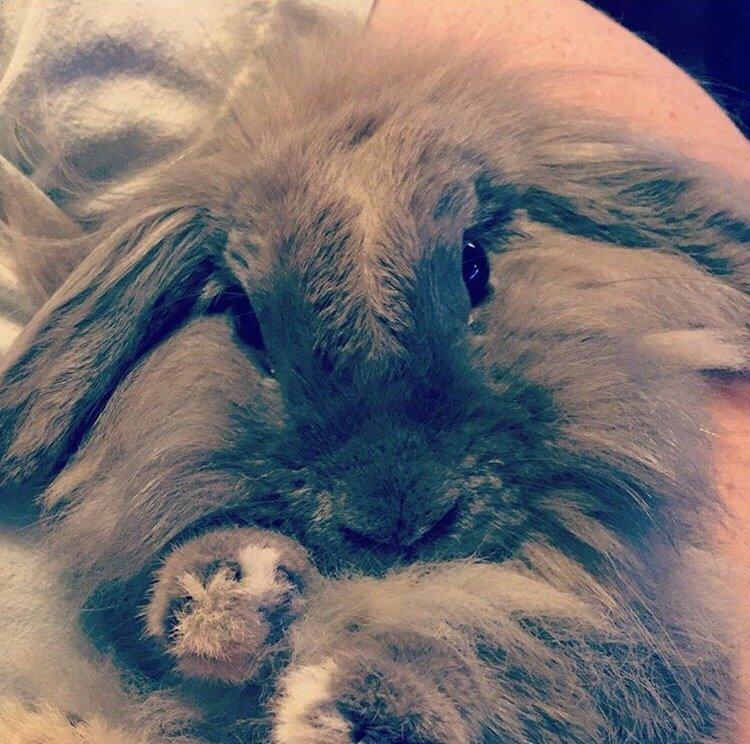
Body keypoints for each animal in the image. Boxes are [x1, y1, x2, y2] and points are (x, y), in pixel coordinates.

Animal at [0, 11, 748, 744]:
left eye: (475, 264)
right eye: (244, 318)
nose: (399, 521)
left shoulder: (623, 637)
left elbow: (508, 651)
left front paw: (357, 708)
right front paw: (223, 589)